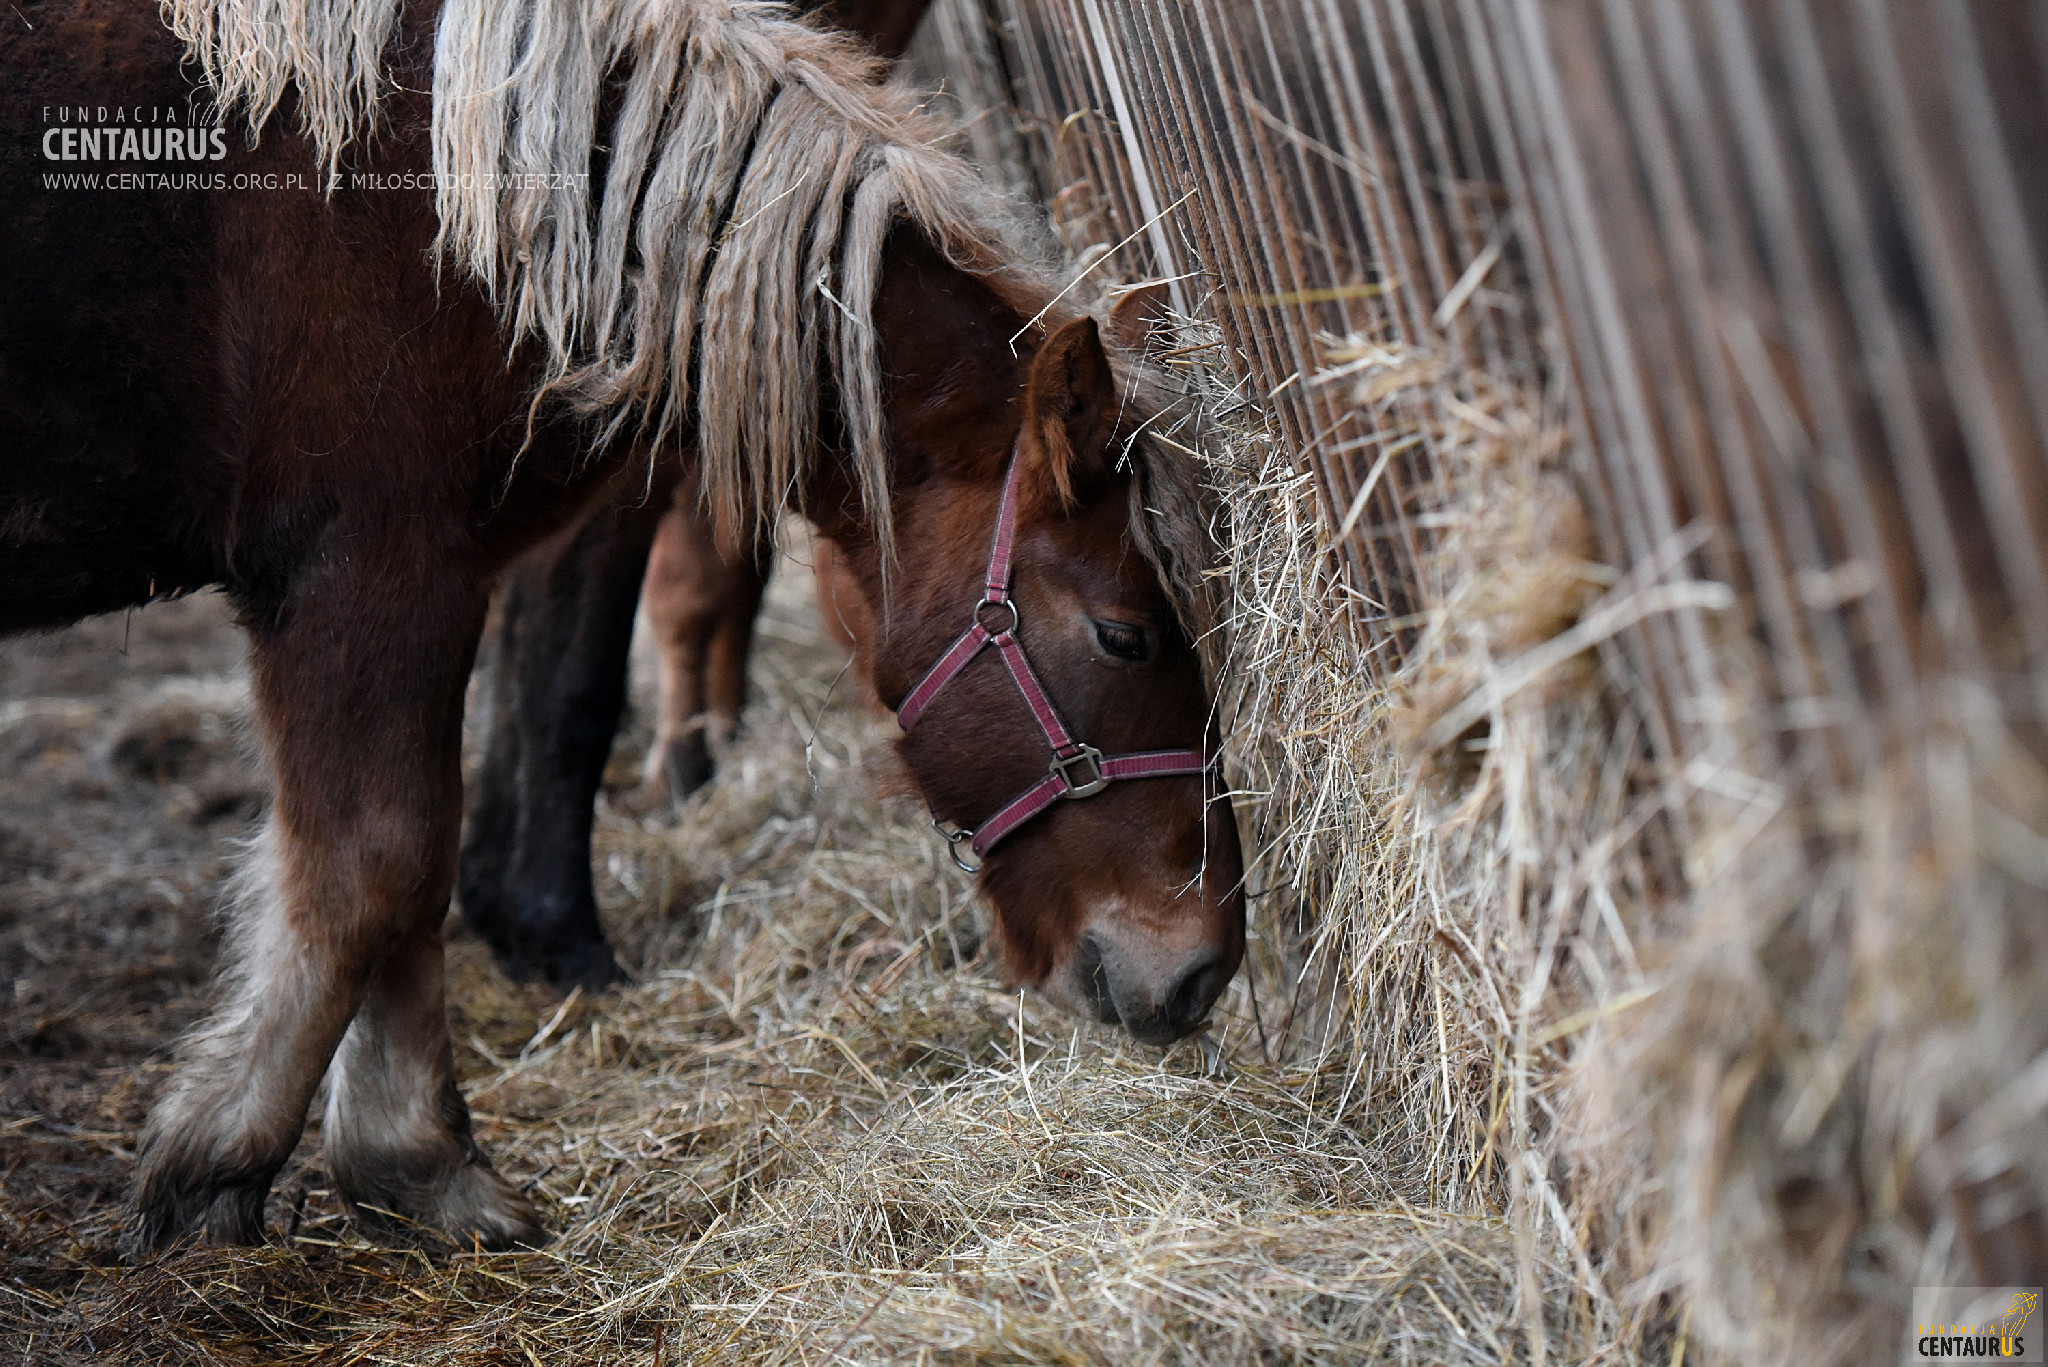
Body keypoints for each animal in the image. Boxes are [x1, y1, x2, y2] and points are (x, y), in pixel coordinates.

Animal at [0, 0, 1236, 1254]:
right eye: (1124, 635)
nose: (1200, 968)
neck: (467, 208)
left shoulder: (436, 577)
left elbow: (419, 858)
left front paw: (410, 1155)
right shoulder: (368, 573)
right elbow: (372, 863)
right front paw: (232, 1154)